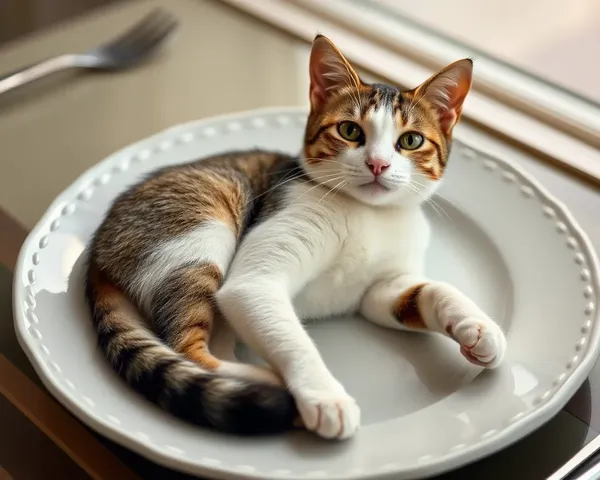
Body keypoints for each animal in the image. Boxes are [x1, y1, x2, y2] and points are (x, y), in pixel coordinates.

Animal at [85, 32, 506, 438]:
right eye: (350, 130)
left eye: (411, 141)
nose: (377, 164)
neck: (369, 214)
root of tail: (98, 246)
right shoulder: (255, 281)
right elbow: (293, 339)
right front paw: (325, 395)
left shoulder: (379, 291)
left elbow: (427, 291)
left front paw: (476, 327)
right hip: (208, 217)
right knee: (188, 349)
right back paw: (272, 390)